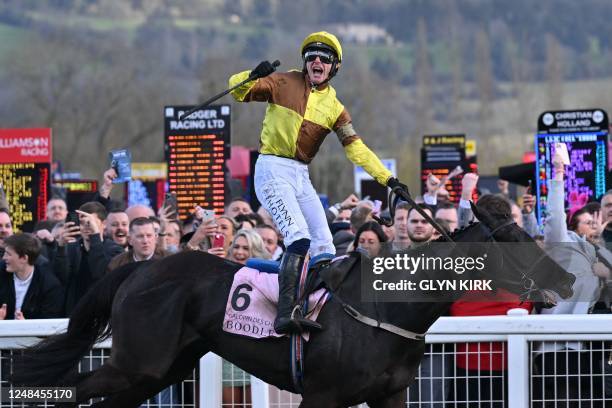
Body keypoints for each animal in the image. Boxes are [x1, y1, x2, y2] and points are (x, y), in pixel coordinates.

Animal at [11, 206, 572, 406]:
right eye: (515, 239)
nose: (566, 279)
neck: (389, 311)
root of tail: (141, 268)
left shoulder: (389, 397)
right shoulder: (323, 396)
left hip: (161, 368)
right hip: (139, 361)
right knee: (76, 388)